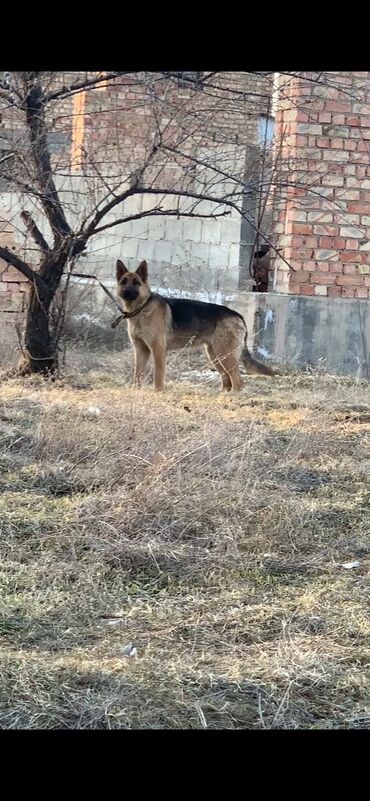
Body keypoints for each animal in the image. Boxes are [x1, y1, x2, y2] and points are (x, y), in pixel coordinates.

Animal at [115, 260, 274, 390]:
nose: (126, 292)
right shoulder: (140, 351)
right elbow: (137, 375)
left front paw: (158, 393)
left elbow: (158, 376)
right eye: (123, 282)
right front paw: (136, 391)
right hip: (215, 355)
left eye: (136, 283)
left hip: (224, 354)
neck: (142, 308)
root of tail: (237, 314)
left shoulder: (158, 350)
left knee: (238, 382)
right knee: (227, 380)